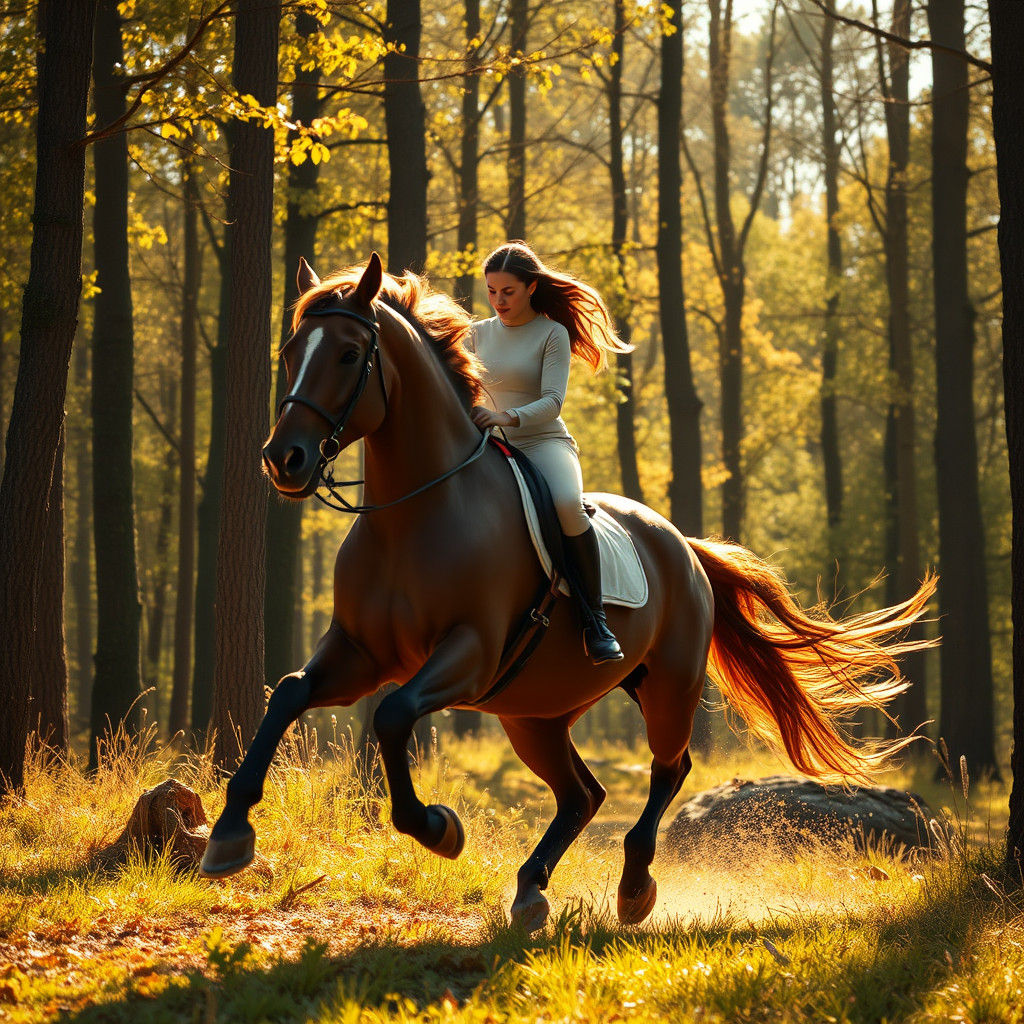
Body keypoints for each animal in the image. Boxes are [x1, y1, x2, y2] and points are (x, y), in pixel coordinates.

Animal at [200, 253, 935, 930]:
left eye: (350, 354)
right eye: (290, 352)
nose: (284, 460)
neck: (416, 513)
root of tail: (683, 546)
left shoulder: (468, 654)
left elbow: (392, 714)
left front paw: (438, 827)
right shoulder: (361, 652)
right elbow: (291, 691)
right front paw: (229, 835)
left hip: (666, 685)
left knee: (669, 768)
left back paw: (633, 887)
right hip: (534, 714)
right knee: (583, 794)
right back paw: (531, 888)